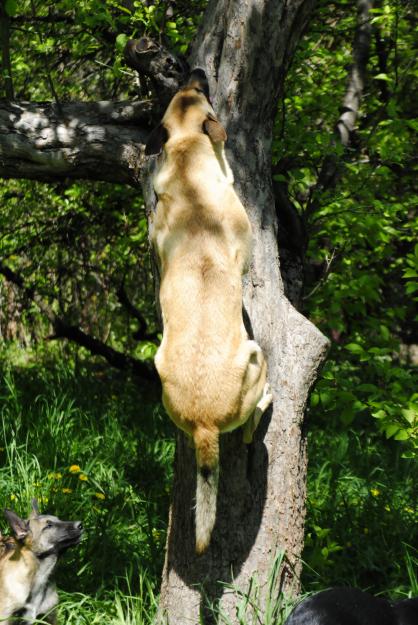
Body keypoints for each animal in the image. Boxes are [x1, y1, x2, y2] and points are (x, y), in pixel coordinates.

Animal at [146, 69, 272, 554]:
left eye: (189, 89)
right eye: (202, 94)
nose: (197, 72)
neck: (186, 160)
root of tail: (203, 425)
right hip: (256, 358)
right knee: (254, 421)